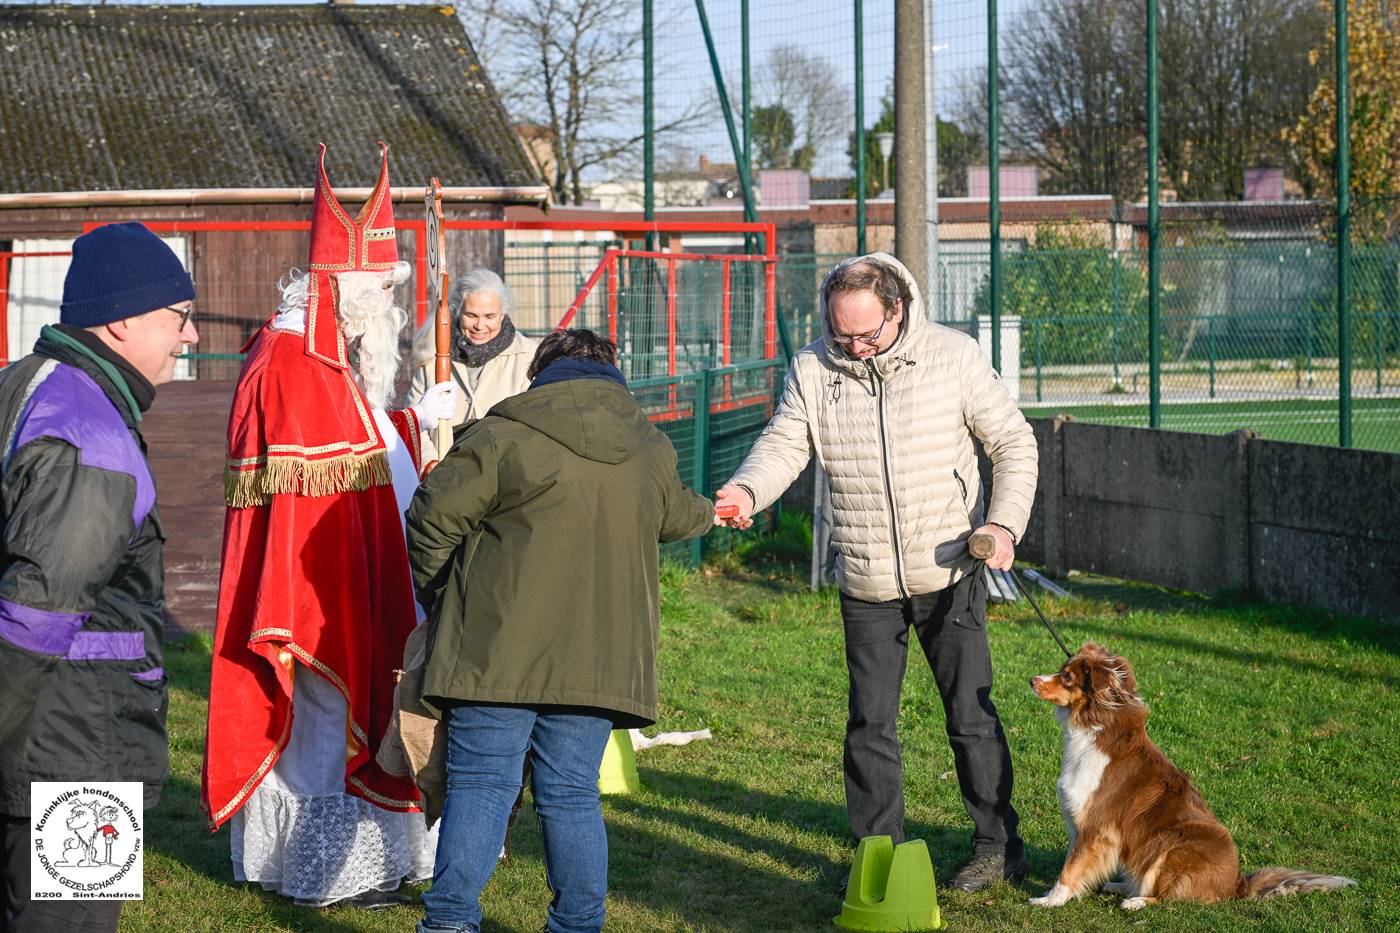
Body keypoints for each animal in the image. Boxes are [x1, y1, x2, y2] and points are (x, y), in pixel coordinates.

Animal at [1030, 644, 1355, 902]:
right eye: (1061, 670)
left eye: (1067, 677)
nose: (1031, 679)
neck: (1098, 724)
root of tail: (1235, 884)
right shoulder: (1080, 825)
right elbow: (1071, 863)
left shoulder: (1095, 828)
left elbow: (1070, 870)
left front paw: (1049, 901)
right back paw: (1120, 886)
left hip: (1170, 842)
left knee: (1164, 896)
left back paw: (1135, 901)